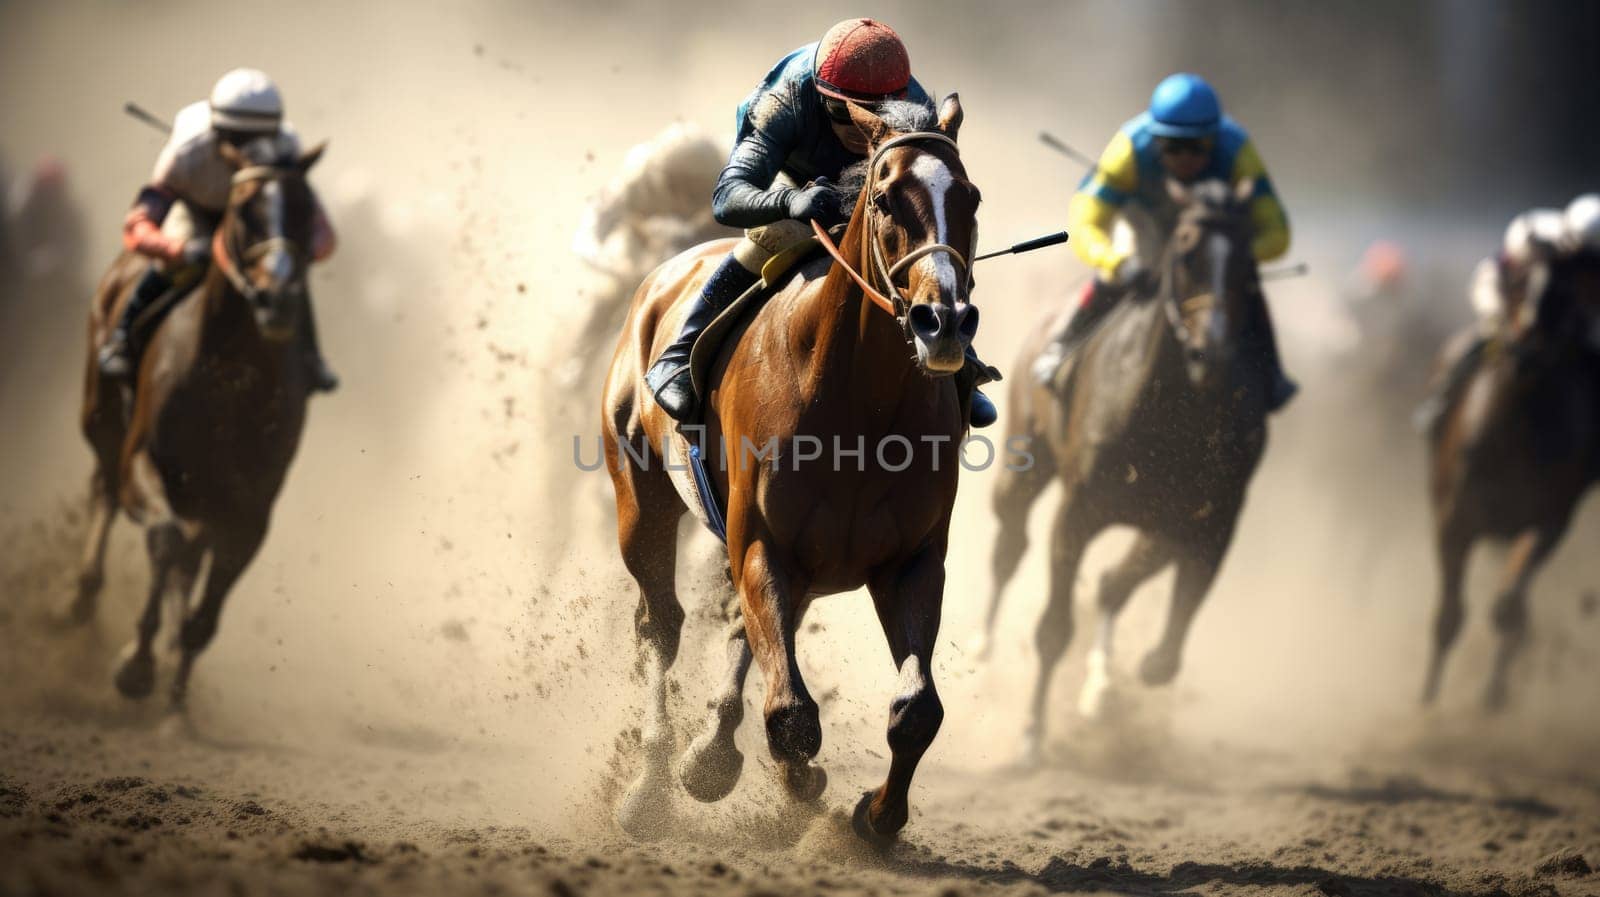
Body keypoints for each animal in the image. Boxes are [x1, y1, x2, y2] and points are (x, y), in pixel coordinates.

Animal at [61, 138, 328, 706]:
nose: (278, 298)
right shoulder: (144, 460)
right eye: (244, 210)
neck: (229, 379)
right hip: (101, 416)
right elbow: (164, 538)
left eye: (306, 209)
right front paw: (136, 664)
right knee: (107, 490)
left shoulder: (251, 506)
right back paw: (82, 595)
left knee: (188, 554)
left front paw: (177, 697)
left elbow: (205, 607)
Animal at [601, 94, 972, 844]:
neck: (861, 406)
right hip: (640, 501)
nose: (942, 322)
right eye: (885, 199)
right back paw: (651, 784)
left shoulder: (910, 560)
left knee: (741, 630)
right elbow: (793, 715)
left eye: (971, 198)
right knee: (662, 625)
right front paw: (798, 790)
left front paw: (877, 816)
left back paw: (712, 752)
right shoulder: (763, 543)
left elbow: (917, 708)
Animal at [979, 178, 1267, 751]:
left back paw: (1100, 688)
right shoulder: (1078, 510)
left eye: (1248, 260)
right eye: (1186, 250)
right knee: (1010, 541)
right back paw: (983, 648)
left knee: (1113, 581)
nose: (1212, 353)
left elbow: (1161, 653)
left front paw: (1107, 687)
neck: (1171, 414)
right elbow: (1054, 629)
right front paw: (1031, 734)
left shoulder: (1209, 519)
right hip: (1026, 454)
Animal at [1427, 249, 1600, 706]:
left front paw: (1494, 693)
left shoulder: (1548, 520)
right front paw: (1426, 699)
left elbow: (1507, 607)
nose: (1526, 353)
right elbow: (1449, 616)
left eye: (1566, 292)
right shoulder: (1457, 517)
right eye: (1518, 281)